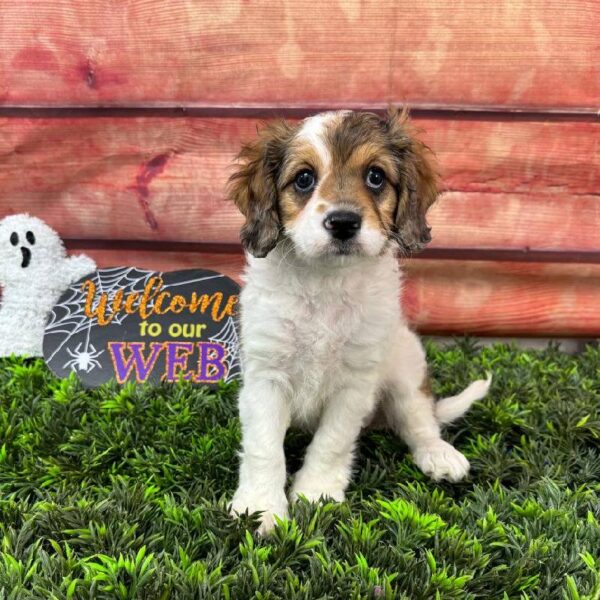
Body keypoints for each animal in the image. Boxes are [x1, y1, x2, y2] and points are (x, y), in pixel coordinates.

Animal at [227, 108, 490, 536]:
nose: (344, 222)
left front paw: (315, 494)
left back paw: (439, 455)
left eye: (375, 176)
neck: (325, 283)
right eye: (304, 178)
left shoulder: (355, 383)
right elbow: (264, 447)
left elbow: (331, 442)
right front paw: (261, 508)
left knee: (420, 420)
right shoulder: (267, 377)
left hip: (405, 371)